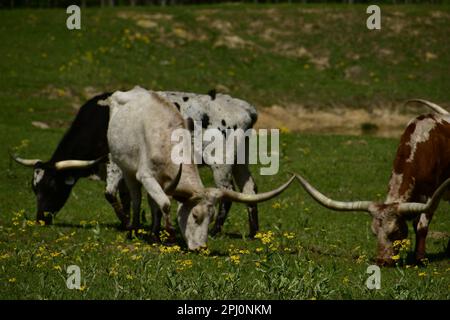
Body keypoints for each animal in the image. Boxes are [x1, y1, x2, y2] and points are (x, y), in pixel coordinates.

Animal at [10, 93, 129, 228]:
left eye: (53, 187)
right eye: (35, 188)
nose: (40, 220)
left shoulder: (117, 165)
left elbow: (110, 194)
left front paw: (128, 223)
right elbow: (126, 196)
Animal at [102, 87, 294, 250]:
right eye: (194, 216)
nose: (201, 247)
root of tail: (246, 109)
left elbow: (126, 196)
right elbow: (155, 201)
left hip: (222, 163)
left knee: (231, 191)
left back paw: (220, 231)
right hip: (239, 161)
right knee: (249, 189)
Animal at [296, 101, 450, 266]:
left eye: (395, 231)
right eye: (374, 232)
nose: (382, 261)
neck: (422, 145)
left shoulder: (431, 195)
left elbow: (421, 226)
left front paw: (420, 258)